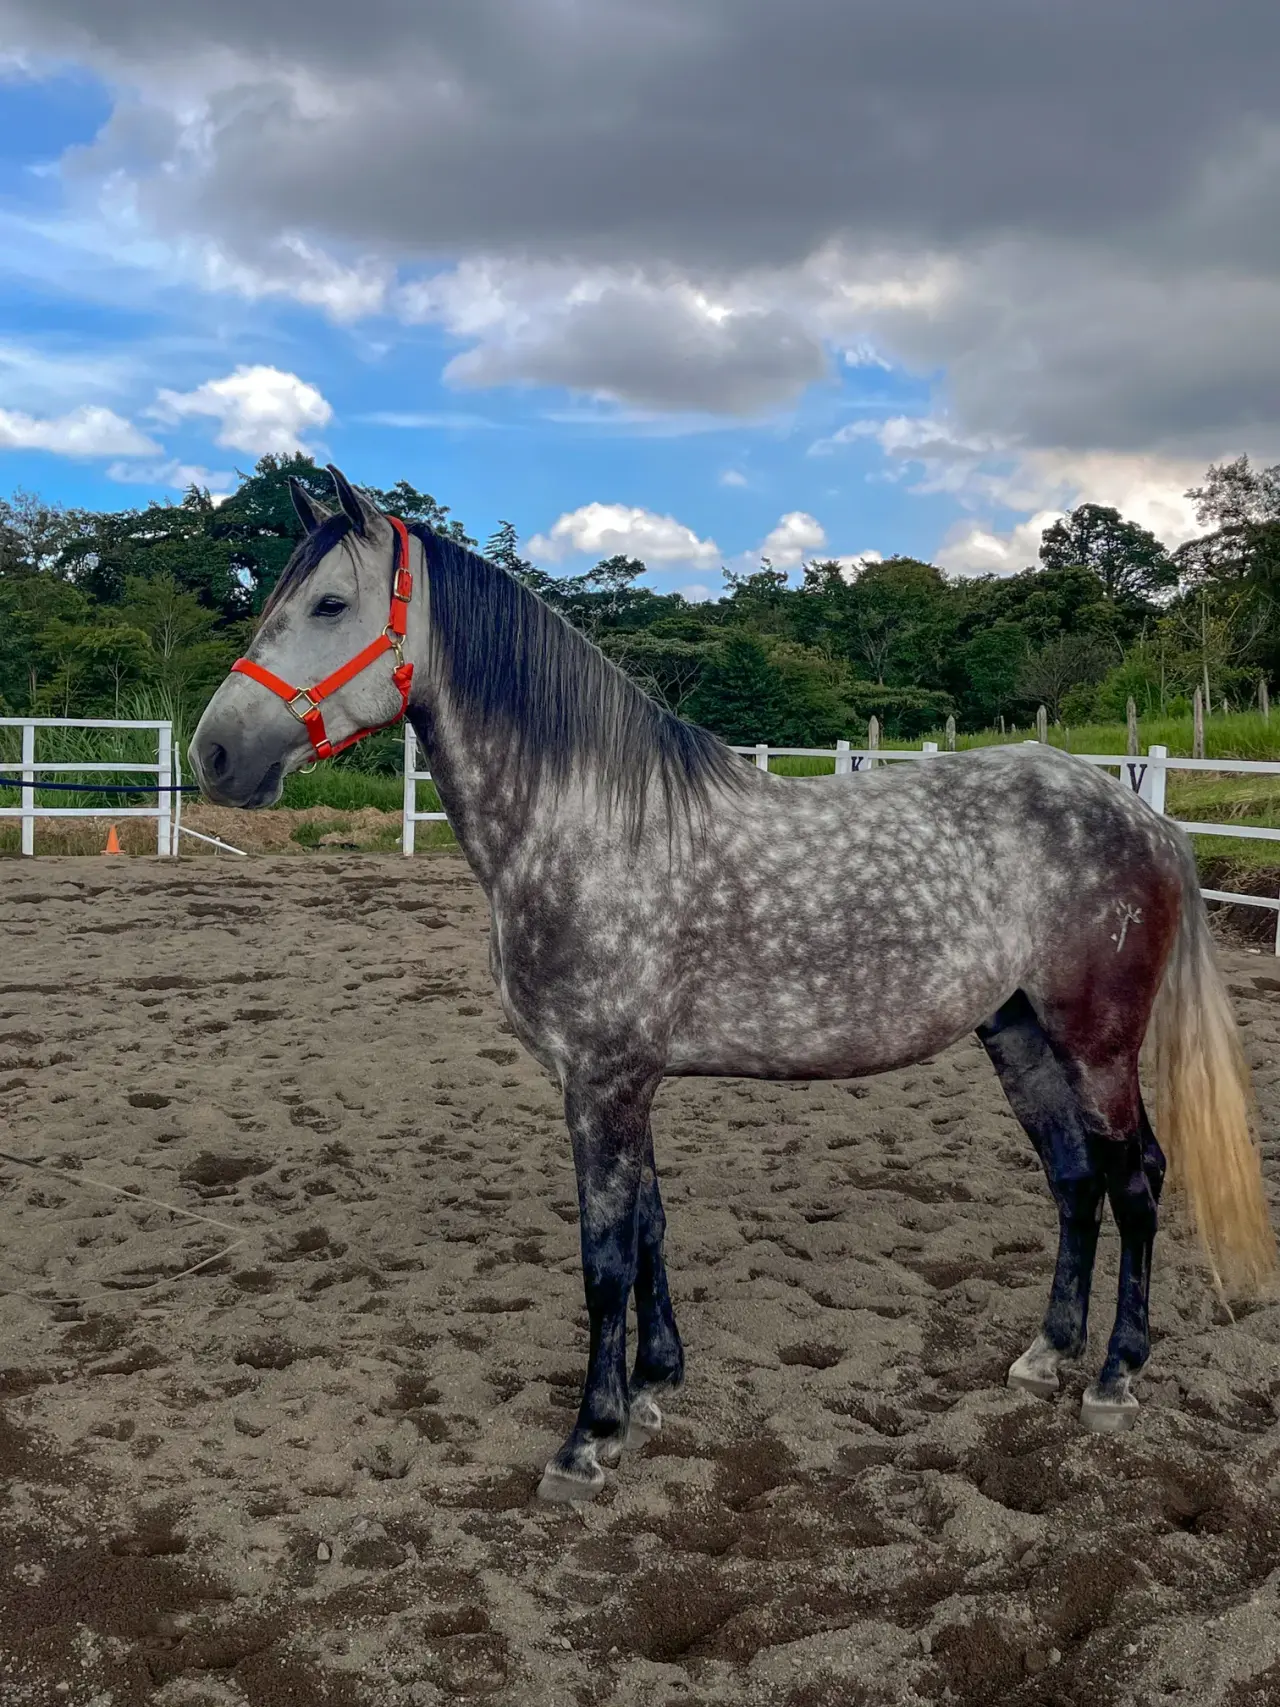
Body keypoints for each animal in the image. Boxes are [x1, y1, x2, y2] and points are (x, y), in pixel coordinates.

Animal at [190, 466, 1275, 1503]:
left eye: (330, 604)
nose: (214, 753)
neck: (587, 824)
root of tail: (1142, 815)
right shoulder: (621, 1080)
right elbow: (650, 1229)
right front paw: (653, 1386)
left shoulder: (602, 1080)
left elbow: (604, 1257)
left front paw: (586, 1440)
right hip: (1017, 1032)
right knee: (1073, 1179)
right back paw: (1046, 1355)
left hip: (1096, 1040)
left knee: (1136, 1180)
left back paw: (1114, 1377)